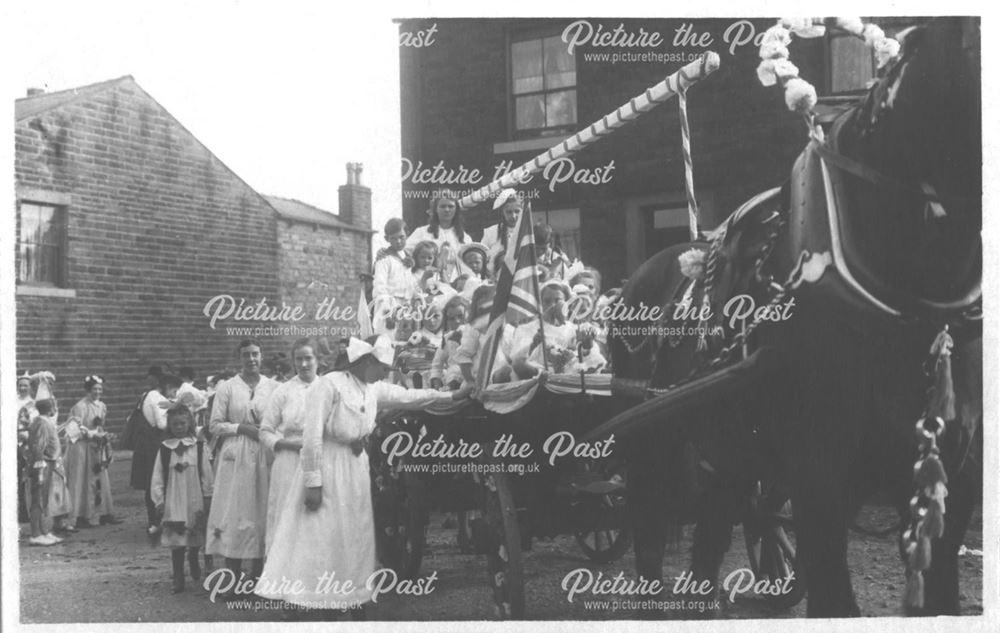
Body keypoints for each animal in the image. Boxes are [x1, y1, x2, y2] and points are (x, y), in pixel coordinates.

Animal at [596, 18, 980, 616]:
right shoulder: (819, 485)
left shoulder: (949, 487)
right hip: (648, 451)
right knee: (650, 547)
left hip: (727, 458)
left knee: (709, 544)